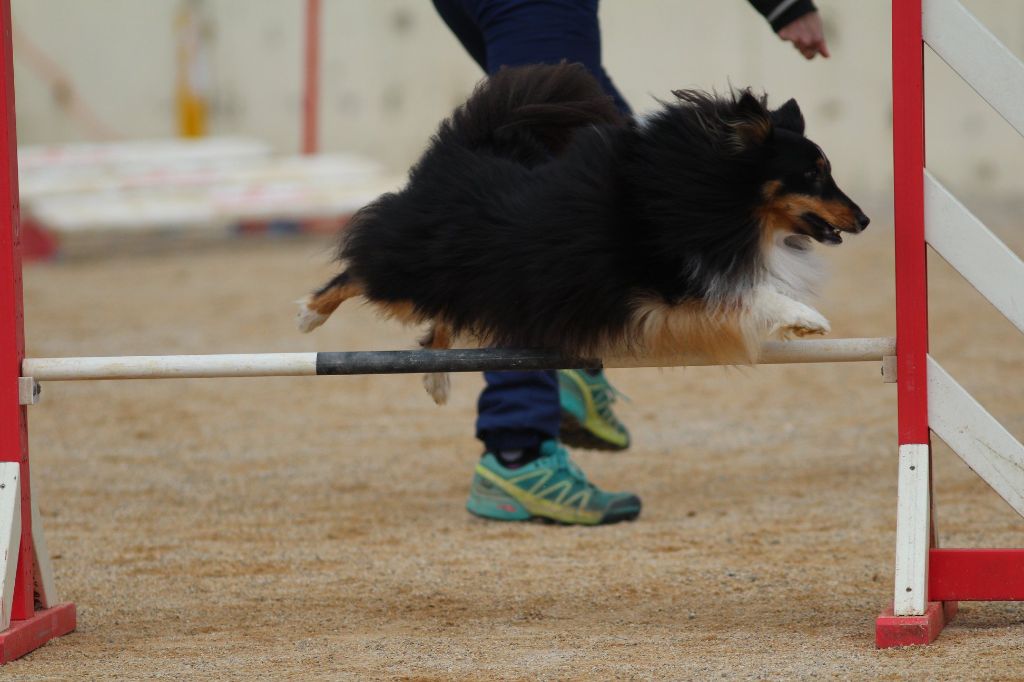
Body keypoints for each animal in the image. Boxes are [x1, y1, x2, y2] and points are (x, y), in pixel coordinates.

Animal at [296, 61, 864, 401]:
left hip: (475, 278)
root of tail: (463, 152)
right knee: (359, 271)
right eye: (814, 173)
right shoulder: (675, 282)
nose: (864, 219)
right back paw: (309, 316)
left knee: (440, 322)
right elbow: (754, 292)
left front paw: (799, 325)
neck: (705, 192)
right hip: (417, 271)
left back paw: (436, 378)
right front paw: (807, 320)